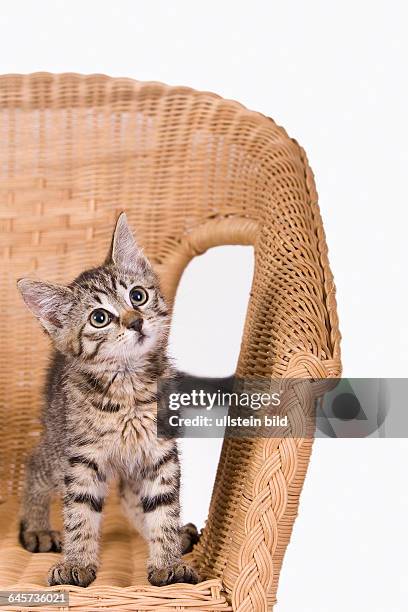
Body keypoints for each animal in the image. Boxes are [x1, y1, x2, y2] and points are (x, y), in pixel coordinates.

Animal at [17, 212, 199, 588]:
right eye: (99, 318)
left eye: (138, 296)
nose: (136, 321)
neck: (128, 386)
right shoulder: (81, 459)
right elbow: (80, 513)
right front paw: (76, 563)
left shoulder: (159, 453)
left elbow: (163, 506)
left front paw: (168, 561)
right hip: (58, 442)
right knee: (35, 462)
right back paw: (38, 527)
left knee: (130, 496)